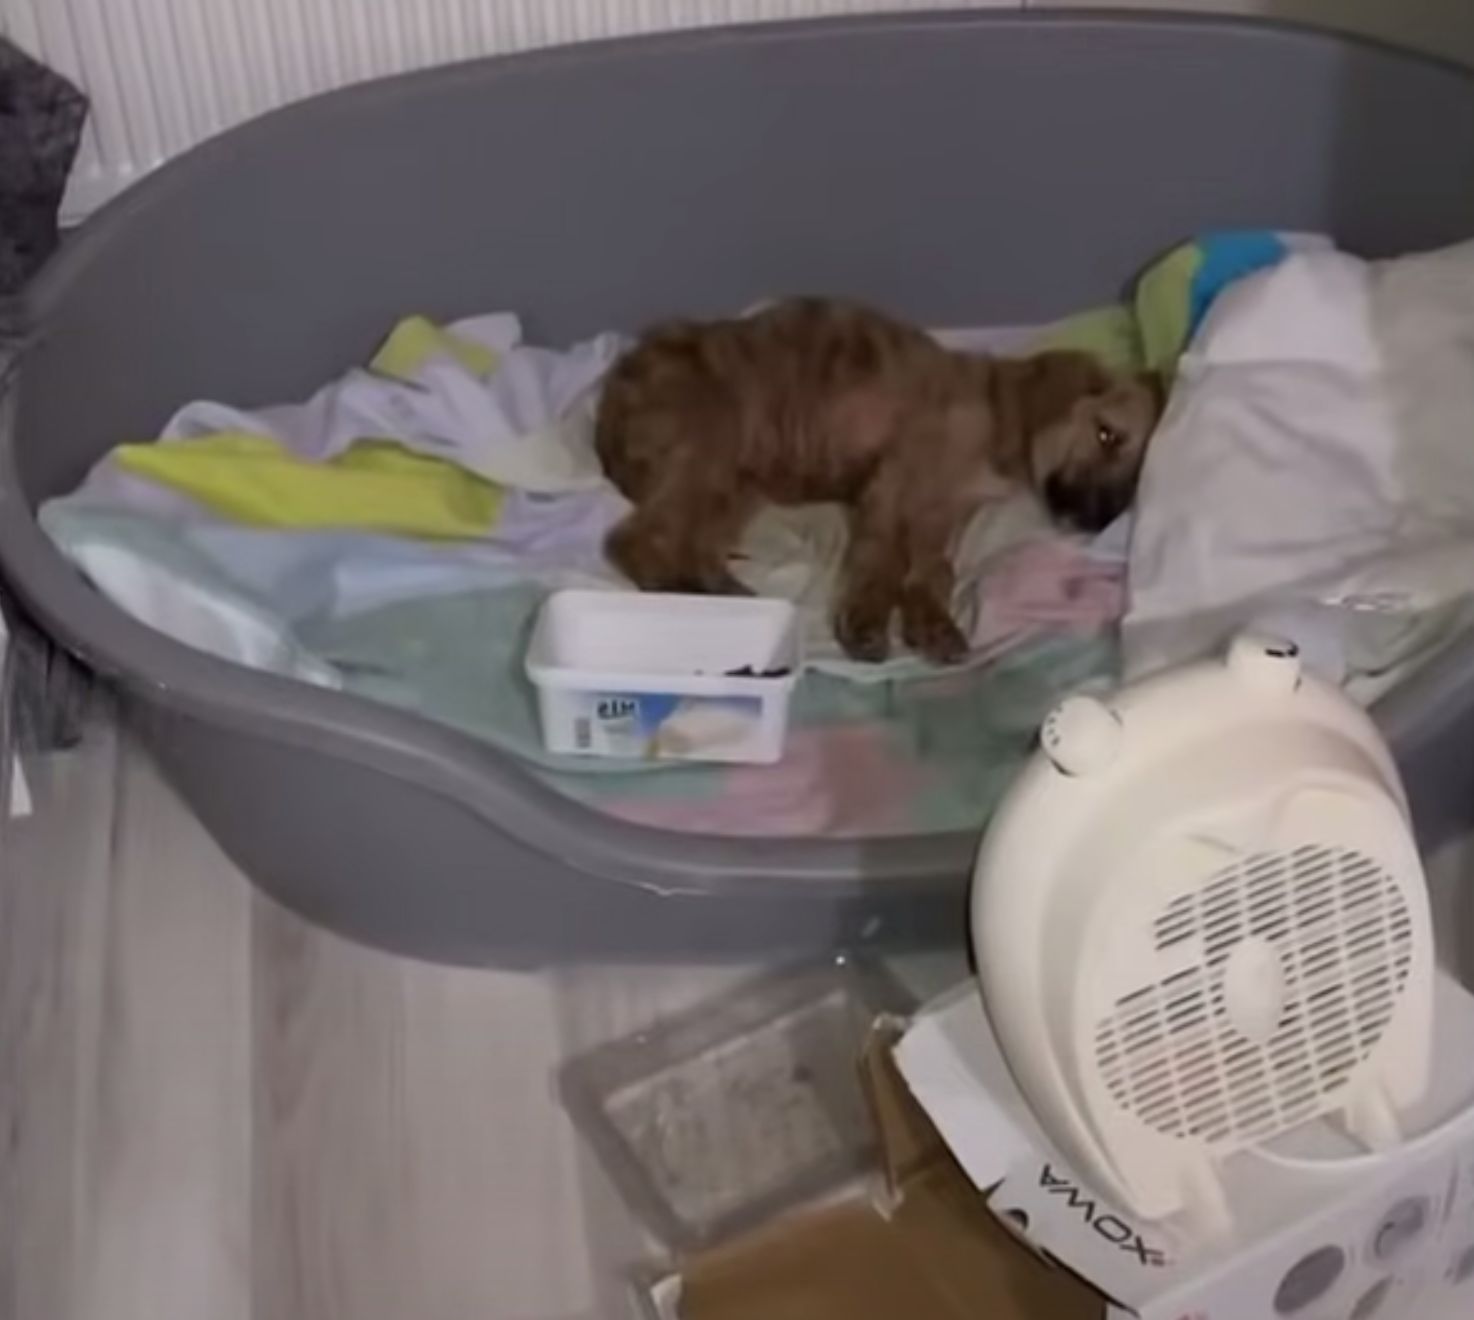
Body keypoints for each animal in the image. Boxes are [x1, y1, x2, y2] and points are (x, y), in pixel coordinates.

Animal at [592, 303, 1155, 665]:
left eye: (1135, 478)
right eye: (1107, 434)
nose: (1095, 520)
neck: (1001, 416)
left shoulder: (942, 512)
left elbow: (934, 571)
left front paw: (932, 624)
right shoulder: (894, 481)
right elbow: (882, 560)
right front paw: (866, 622)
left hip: (738, 480)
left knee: (692, 546)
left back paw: (727, 595)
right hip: (712, 445)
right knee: (633, 539)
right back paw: (683, 595)